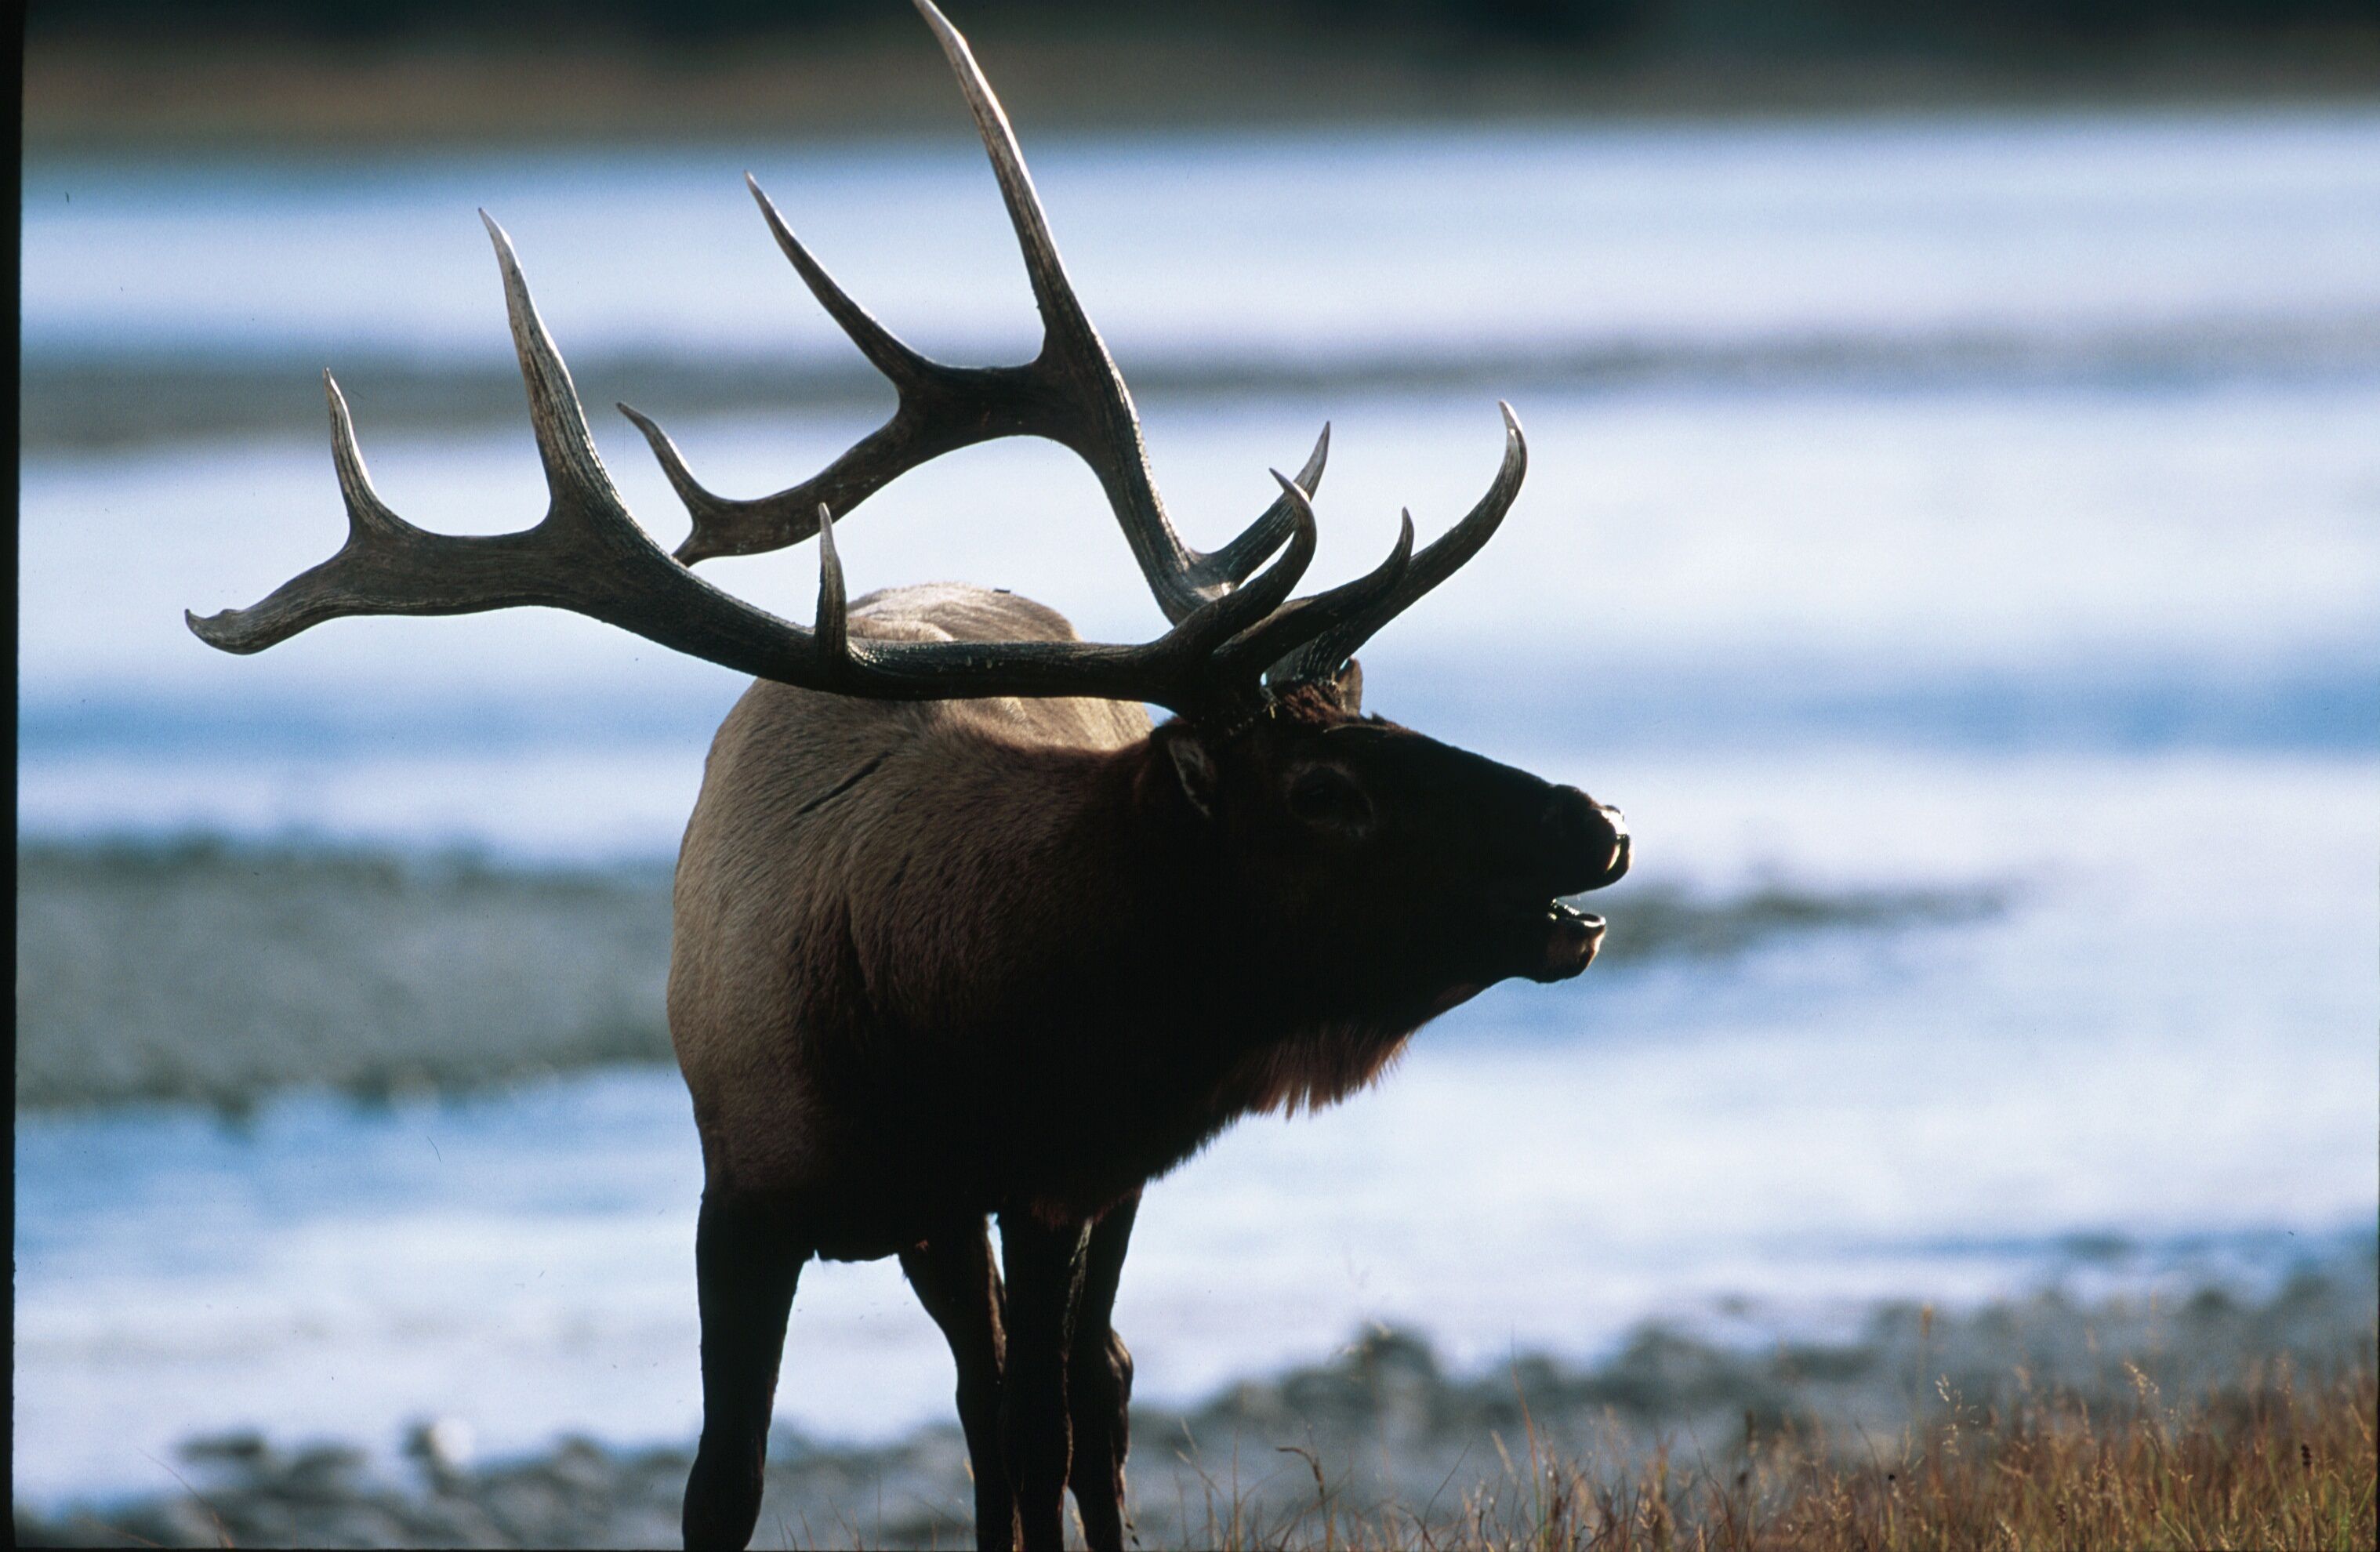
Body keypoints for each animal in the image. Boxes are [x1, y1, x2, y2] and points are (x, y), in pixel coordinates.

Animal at [186, 4, 1630, 1548]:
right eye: (1322, 794)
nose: (1596, 821)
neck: (932, 1023)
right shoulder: (746, 1197)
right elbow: (731, 1481)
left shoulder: (1060, 1174)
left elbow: (1043, 1421)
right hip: (952, 1218)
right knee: (1001, 1393)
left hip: (1080, 1184)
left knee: (1085, 1387)